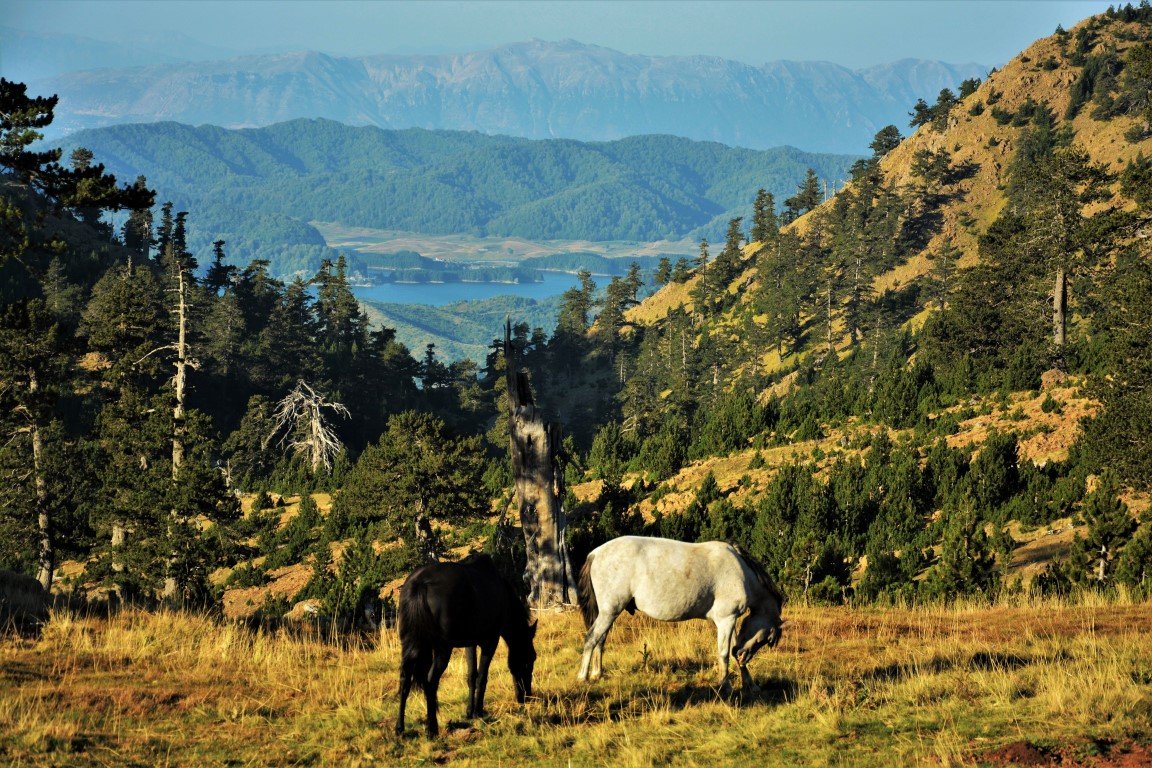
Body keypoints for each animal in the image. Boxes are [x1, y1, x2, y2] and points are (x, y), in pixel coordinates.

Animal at [393, 552, 536, 736]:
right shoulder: (490, 641)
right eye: (530, 659)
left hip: (409, 645)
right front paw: (479, 711)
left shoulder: (470, 644)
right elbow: (482, 677)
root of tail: (419, 583)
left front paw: (469, 711)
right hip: (442, 649)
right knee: (430, 682)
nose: (527, 696)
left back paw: (400, 727)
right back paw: (432, 729)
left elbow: (471, 676)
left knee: (405, 680)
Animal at [573, 538, 783, 695]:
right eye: (765, 639)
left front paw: (750, 685)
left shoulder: (728, 622)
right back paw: (583, 677)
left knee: (600, 640)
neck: (741, 572)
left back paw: (597, 674)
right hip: (610, 611)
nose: (743, 656)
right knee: (591, 638)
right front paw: (726, 686)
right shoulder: (727, 619)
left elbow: (729, 650)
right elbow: (724, 653)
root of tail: (595, 553)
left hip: (608, 613)